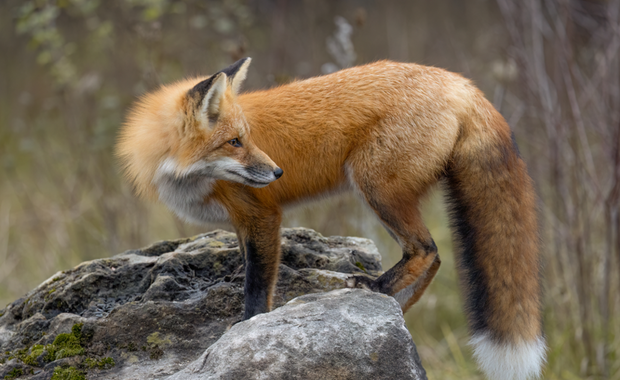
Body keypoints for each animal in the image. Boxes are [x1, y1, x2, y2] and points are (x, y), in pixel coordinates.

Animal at [116, 58, 544, 378]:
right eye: (234, 142)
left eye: (245, 138)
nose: (277, 173)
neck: (185, 178)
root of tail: (461, 83)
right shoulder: (243, 223)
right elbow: (251, 269)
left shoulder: (261, 215)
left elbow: (257, 286)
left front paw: (246, 328)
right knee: (435, 257)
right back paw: (395, 308)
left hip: (375, 186)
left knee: (425, 249)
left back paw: (375, 286)